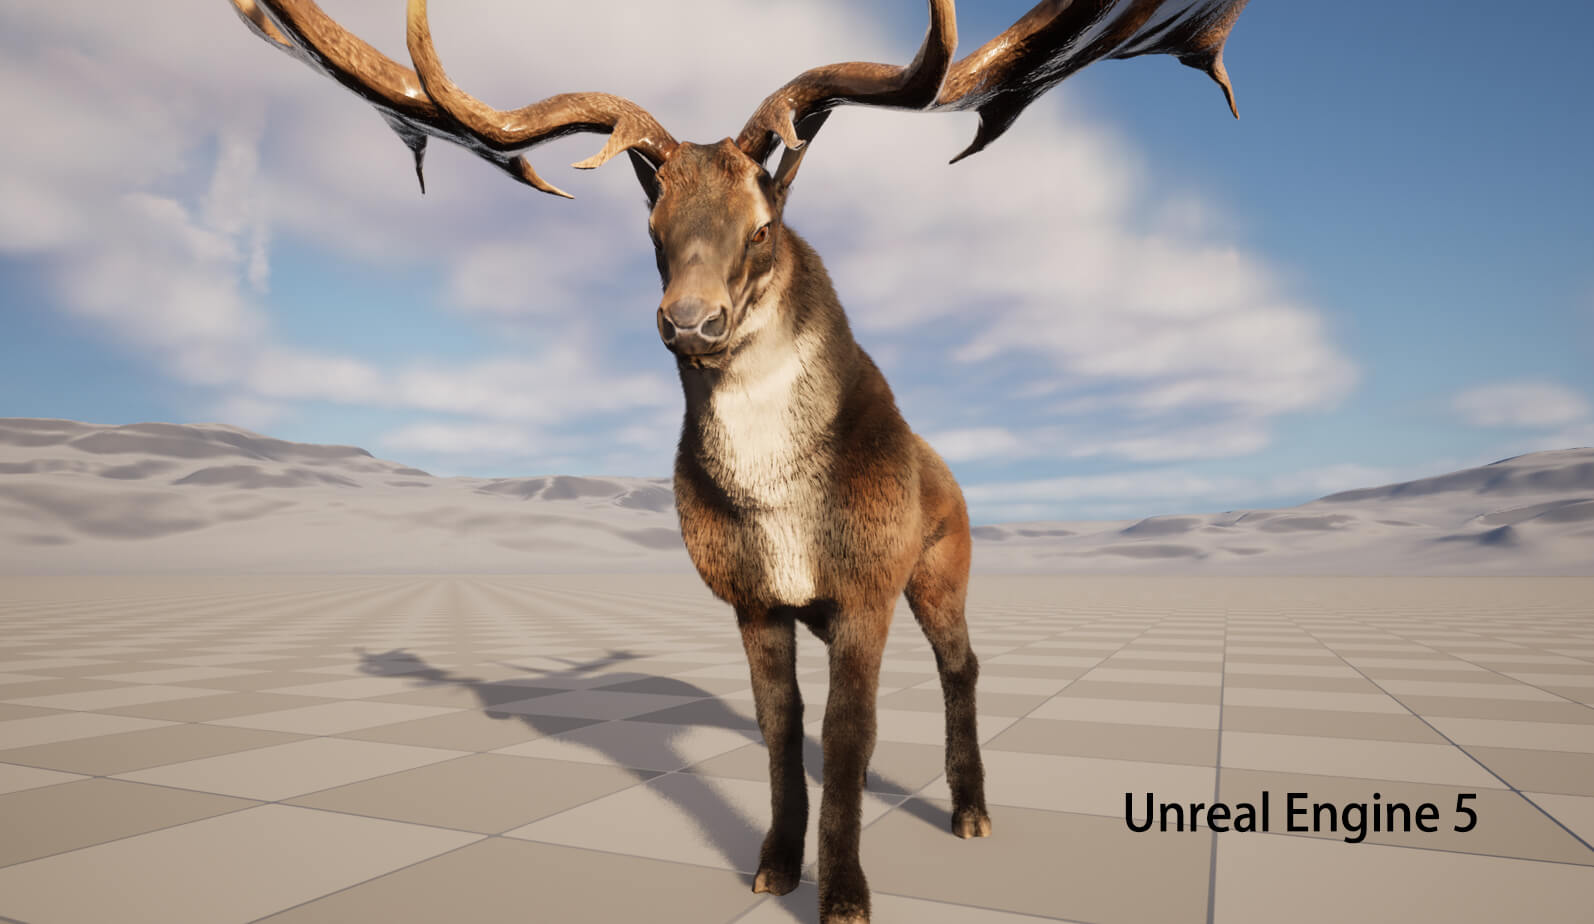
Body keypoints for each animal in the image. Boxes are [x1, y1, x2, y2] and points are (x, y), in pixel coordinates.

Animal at [231, 1, 1249, 920]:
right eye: (653, 230)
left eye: (762, 226)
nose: (691, 322)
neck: (779, 506)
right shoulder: (752, 600)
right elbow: (780, 730)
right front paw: (771, 869)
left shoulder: (865, 589)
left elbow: (849, 736)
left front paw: (846, 897)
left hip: (942, 566)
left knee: (963, 663)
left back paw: (971, 814)